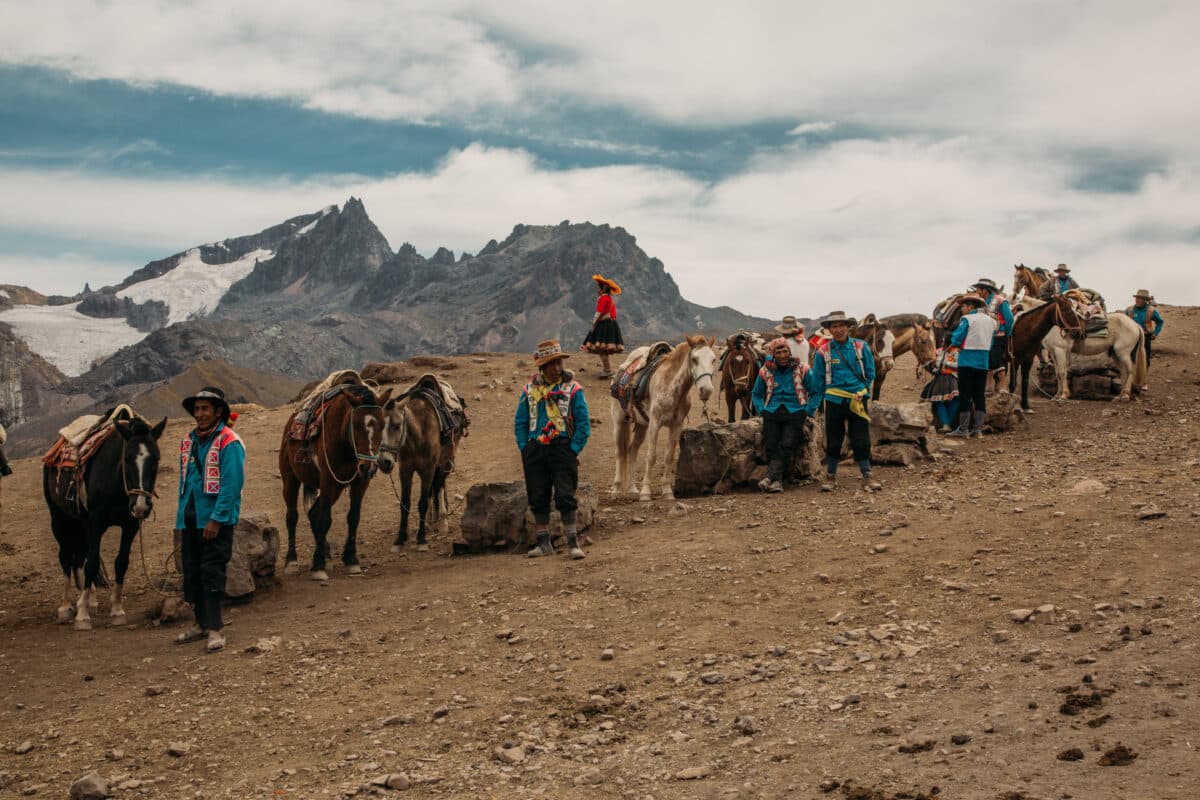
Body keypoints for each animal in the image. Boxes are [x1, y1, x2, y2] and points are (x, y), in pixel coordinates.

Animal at [43, 417, 166, 628]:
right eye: (127, 458)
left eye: (156, 458)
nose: (141, 505)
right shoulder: (95, 522)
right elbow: (92, 563)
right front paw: (82, 616)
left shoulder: (130, 526)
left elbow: (121, 563)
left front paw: (116, 611)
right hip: (59, 519)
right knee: (66, 557)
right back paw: (66, 607)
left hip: (81, 525)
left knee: (80, 557)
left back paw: (89, 600)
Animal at [280, 383, 393, 582]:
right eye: (355, 424)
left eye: (382, 425)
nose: (369, 467)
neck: (345, 444)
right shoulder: (327, 479)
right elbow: (325, 519)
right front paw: (318, 566)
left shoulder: (359, 482)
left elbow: (353, 517)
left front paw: (351, 559)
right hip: (290, 479)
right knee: (292, 517)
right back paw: (292, 561)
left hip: (338, 488)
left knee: (313, 512)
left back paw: (326, 554)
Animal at [379, 376, 468, 551]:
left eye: (396, 426)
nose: (383, 462)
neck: (418, 435)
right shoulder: (405, 470)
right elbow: (405, 503)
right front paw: (400, 539)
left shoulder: (428, 469)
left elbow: (422, 502)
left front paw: (421, 539)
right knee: (434, 489)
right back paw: (430, 521)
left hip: (445, 463)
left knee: (439, 486)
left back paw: (442, 522)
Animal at [609, 335, 710, 501]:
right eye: (694, 359)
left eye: (713, 359)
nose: (706, 390)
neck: (671, 385)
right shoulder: (655, 423)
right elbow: (651, 456)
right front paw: (645, 493)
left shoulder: (676, 425)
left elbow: (669, 457)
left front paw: (667, 492)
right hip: (619, 421)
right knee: (619, 452)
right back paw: (616, 490)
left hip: (642, 426)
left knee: (631, 451)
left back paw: (632, 488)